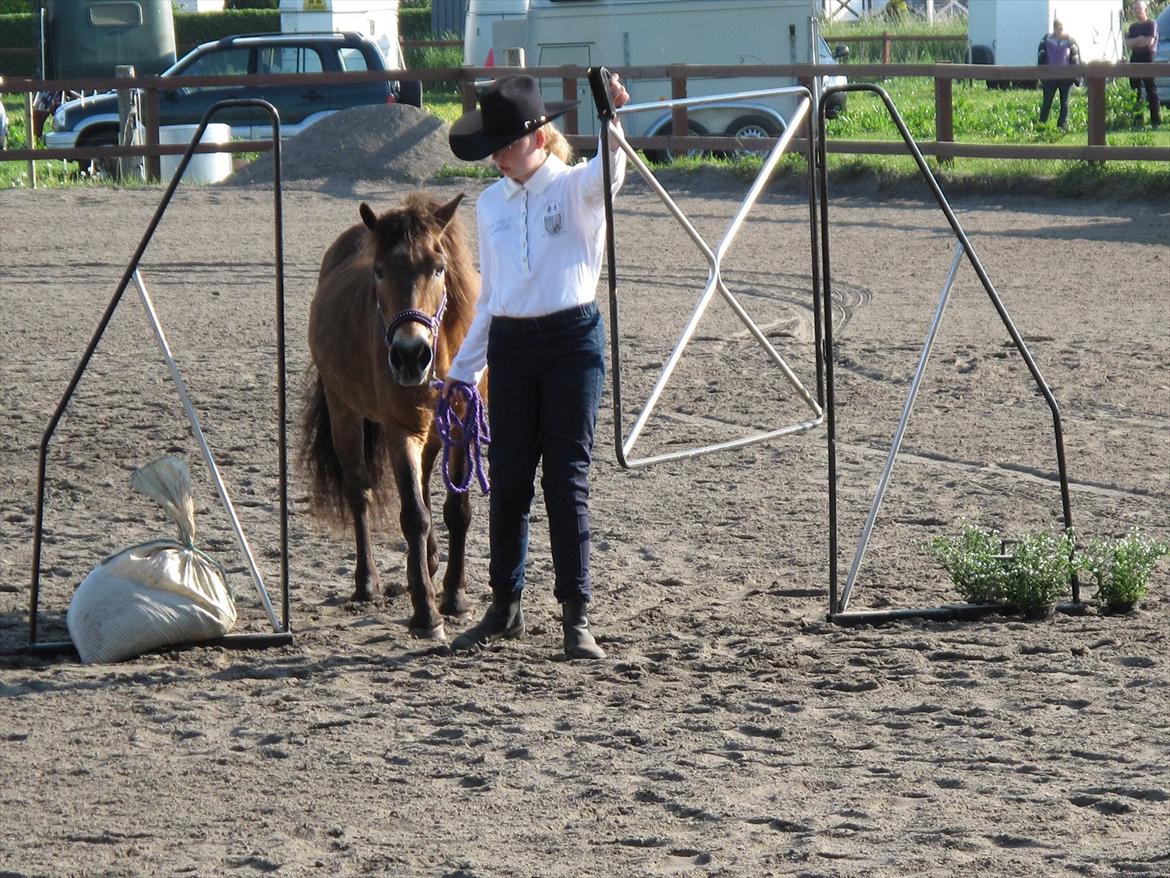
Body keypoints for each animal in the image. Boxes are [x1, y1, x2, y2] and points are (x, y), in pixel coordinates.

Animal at [306, 191, 484, 641]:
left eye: (438, 267)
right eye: (379, 270)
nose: (409, 355)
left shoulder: (460, 429)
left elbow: (457, 511)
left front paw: (454, 596)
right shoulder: (399, 431)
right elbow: (413, 517)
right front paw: (427, 614)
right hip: (344, 411)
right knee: (359, 490)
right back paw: (367, 581)